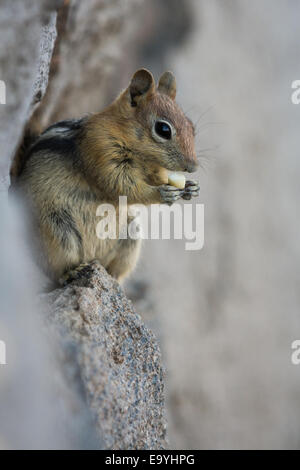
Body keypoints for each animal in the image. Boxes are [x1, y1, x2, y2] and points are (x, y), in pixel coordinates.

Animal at [16, 69, 199, 282]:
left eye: (191, 126)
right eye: (163, 129)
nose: (193, 166)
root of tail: (92, 257)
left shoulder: (151, 168)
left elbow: (155, 178)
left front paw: (191, 188)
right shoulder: (100, 149)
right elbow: (122, 186)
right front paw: (163, 193)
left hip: (131, 234)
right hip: (58, 230)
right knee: (55, 271)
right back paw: (72, 272)